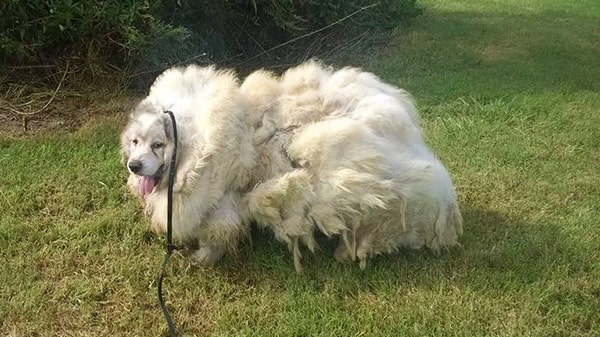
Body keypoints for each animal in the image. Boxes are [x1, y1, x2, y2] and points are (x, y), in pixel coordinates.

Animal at [119, 61, 462, 270]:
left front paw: (204, 257)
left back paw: (348, 252)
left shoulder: (223, 202)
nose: (134, 166)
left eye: (158, 145)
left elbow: (217, 232)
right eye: (135, 141)